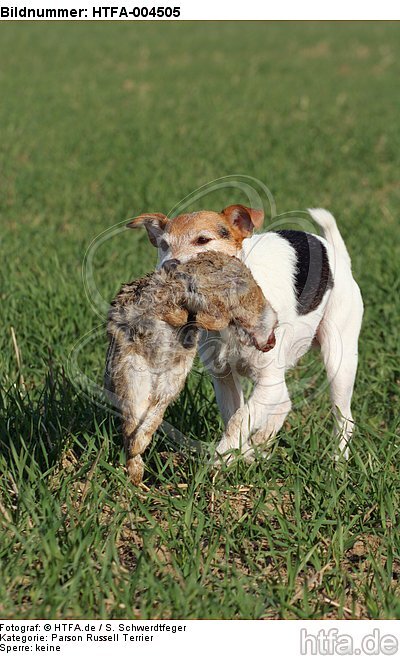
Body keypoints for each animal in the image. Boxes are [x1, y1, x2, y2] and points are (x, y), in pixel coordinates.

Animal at [127, 204, 362, 462]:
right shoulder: (224, 377)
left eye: (203, 240)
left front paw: (219, 461)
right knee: (285, 403)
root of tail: (334, 253)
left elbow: (239, 421)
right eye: (164, 245)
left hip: (339, 360)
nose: (169, 266)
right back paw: (261, 442)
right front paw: (236, 455)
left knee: (344, 418)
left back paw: (338, 460)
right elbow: (235, 416)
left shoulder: (269, 381)